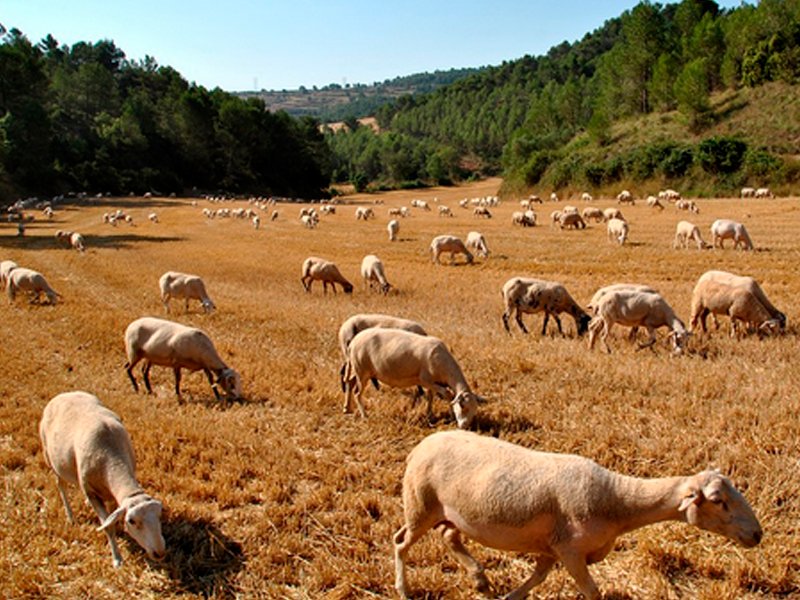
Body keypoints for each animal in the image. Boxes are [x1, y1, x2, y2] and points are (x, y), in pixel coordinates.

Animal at [38, 392, 166, 564]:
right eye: (131, 521)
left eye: (159, 515)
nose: (159, 553)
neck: (112, 459)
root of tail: (64, 394)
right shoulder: (91, 492)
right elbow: (107, 526)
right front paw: (117, 559)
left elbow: (112, 515)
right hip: (50, 459)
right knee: (61, 487)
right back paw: (70, 516)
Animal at [340, 326, 482, 428]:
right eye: (463, 407)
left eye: (475, 410)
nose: (464, 427)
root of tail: (353, 342)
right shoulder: (425, 380)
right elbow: (448, 394)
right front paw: (451, 416)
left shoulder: (432, 382)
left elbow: (431, 396)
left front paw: (429, 414)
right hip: (362, 371)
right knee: (357, 393)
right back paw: (364, 415)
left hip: (359, 370)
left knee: (350, 382)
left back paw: (347, 408)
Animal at [394, 428, 764, 600]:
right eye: (718, 500)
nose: (757, 534)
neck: (616, 499)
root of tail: (420, 446)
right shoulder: (570, 550)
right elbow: (592, 592)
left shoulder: (551, 547)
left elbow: (537, 578)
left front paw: (509, 595)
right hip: (420, 505)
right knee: (401, 543)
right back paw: (403, 588)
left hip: (450, 512)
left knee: (449, 536)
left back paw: (479, 579)